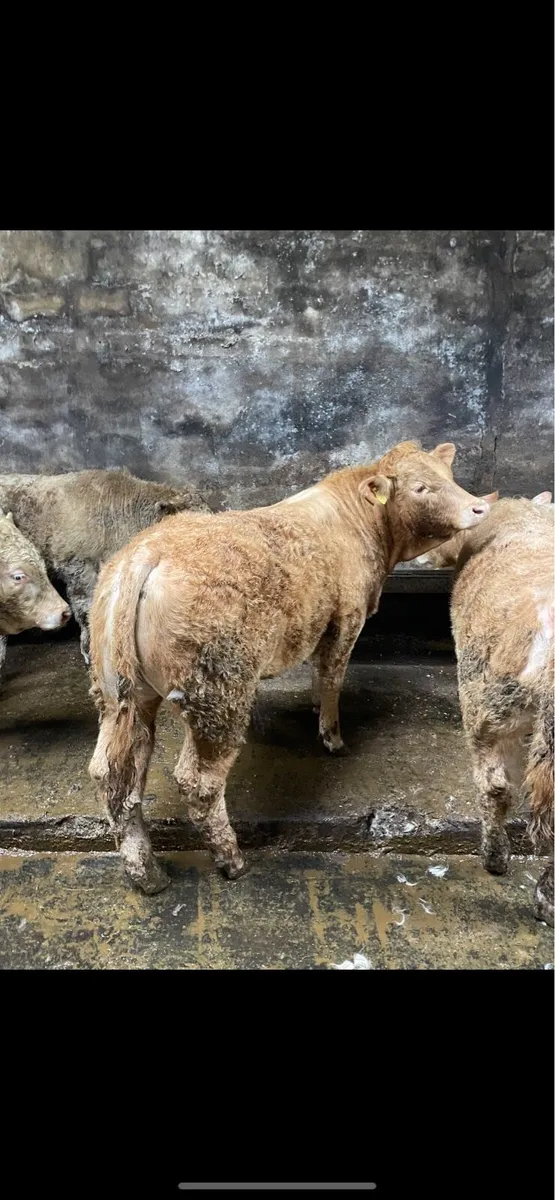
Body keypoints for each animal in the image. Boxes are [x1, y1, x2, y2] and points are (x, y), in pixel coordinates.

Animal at [87, 439, 492, 895]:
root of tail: (146, 553)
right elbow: (332, 675)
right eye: (421, 487)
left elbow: (319, 672)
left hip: (120, 692)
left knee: (113, 774)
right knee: (198, 781)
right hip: (218, 693)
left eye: (449, 476)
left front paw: (315, 709)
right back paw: (232, 861)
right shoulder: (347, 617)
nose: (479, 507)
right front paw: (332, 737)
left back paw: (148, 874)